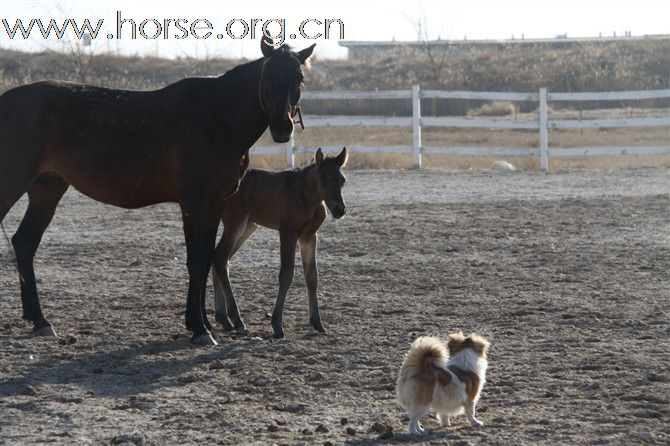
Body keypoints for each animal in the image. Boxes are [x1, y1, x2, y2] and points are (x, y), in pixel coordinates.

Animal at [0, 38, 316, 344]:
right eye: (269, 75)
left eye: (299, 78)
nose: (283, 127)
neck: (216, 118)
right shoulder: (194, 203)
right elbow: (196, 260)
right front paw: (200, 328)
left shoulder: (214, 204)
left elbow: (205, 258)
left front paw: (202, 324)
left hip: (47, 189)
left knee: (24, 243)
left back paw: (40, 321)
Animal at [213, 146, 350, 338]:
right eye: (323, 179)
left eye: (342, 180)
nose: (339, 210)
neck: (305, 196)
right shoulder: (287, 233)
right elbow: (286, 275)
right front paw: (277, 325)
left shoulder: (309, 236)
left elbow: (312, 276)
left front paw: (317, 323)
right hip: (236, 224)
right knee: (219, 259)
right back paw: (236, 319)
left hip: (248, 227)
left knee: (219, 259)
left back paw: (223, 318)